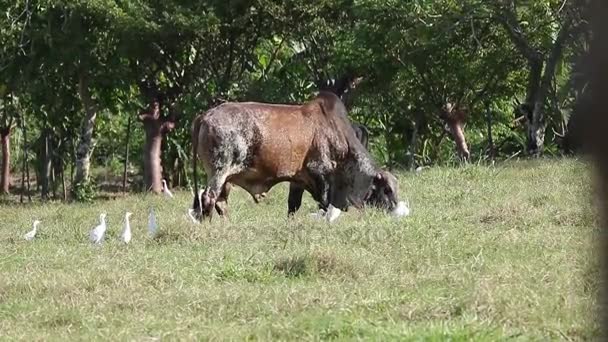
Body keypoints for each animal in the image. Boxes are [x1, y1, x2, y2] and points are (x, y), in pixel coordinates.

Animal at [191, 92, 400, 220]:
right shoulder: (321, 174)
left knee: (220, 202)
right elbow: (324, 205)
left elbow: (293, 206)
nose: (396, 209)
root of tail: (205, 115)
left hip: (226, 179)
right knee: (208, 198)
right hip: (219, 171)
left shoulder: (297, 180)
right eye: (387, 190)